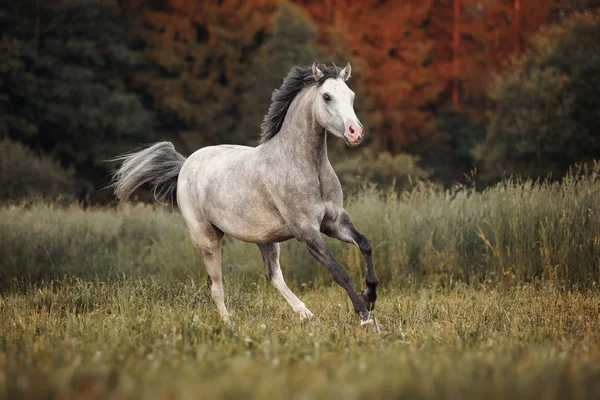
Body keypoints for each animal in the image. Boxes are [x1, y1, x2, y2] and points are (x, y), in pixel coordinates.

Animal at [110, 62, 378, 330]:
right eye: (327, 97)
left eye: (351, 96)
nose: (356, 133)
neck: (305, 165)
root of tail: (185, 164)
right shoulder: (306, 231)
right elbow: (338, 271)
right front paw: (366, 318)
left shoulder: (334, 222)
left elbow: (365, 244)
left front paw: (370, 297)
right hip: (206, 237)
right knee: (215, 284)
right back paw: (229, 324)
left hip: (265, 238)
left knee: (272, 275)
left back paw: (307, 315)